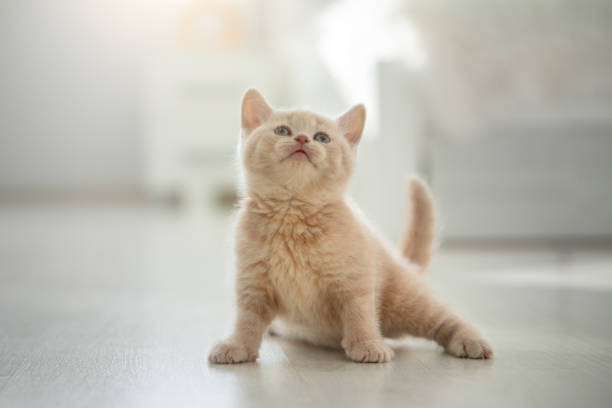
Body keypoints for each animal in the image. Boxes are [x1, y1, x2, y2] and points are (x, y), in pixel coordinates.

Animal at [209, 89, 492, 364]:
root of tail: (401, 261)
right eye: (282, 131)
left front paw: (367, 344)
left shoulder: (355, 278)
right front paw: (237, 345)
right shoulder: (253, 281)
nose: (302, 139)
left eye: (322, 137)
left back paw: (471, 341)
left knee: (444, 318)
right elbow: (247, 318)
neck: (293, 213)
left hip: (405, 300)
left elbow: (359, 312)